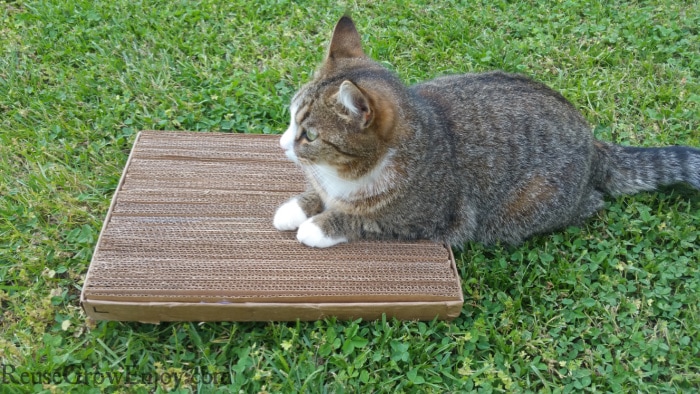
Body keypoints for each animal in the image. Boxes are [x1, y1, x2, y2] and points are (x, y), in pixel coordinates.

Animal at [274, 17, 700, 249]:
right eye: (291, 119)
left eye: (309, 134)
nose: (282, 145)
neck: (346, 174)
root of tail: (593, 142)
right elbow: (319, 194)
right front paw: (297, 207)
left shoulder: (432, 221)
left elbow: (366, 219)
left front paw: (320, 225)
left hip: (527, 209)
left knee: (591, 204)